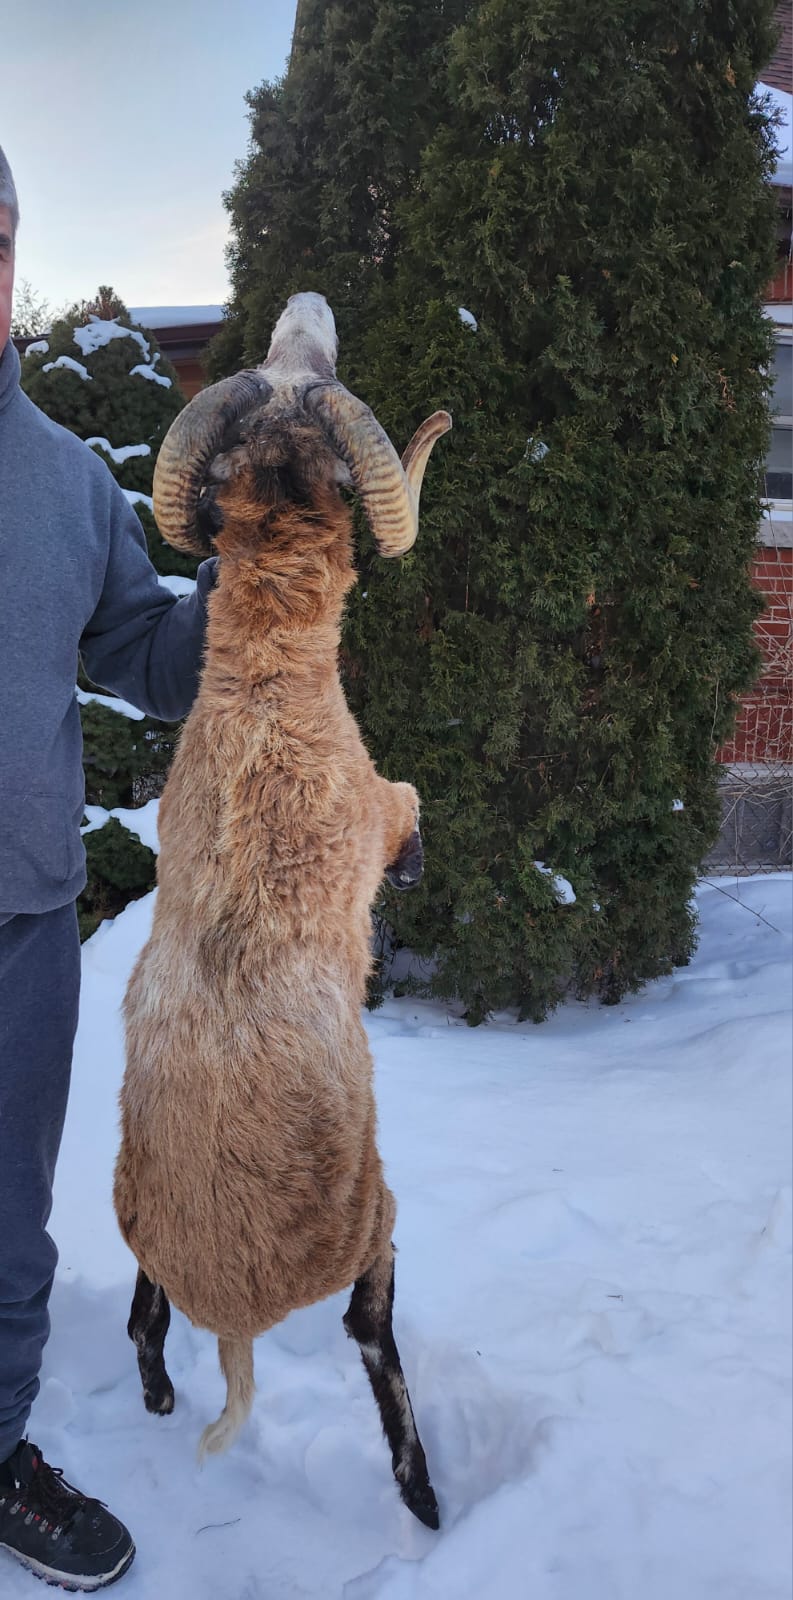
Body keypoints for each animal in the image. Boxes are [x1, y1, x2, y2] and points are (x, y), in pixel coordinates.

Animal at [113, 291, 450, 1530]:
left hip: (144, 1231)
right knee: (368, 1324)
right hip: (375, 1218)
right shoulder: (376, 805)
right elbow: (411, 806)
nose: (309, 304)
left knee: (143, 1314)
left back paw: (162, 1394)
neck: (263, 679)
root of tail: (239, 1316)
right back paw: (423, 1496)